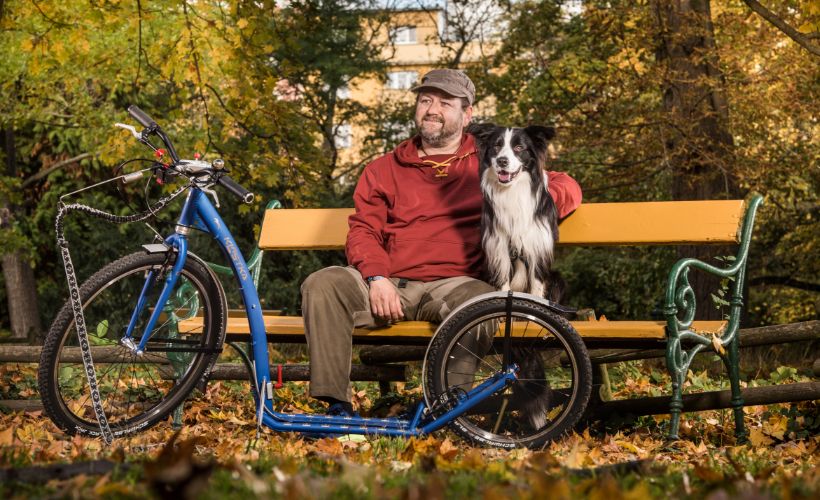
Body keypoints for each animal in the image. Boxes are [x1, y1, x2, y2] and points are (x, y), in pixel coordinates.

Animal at [468, 123, 564, 432]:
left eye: (519, 148)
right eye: (497, 146)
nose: (501, 161)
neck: (512, 193)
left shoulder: (537, 251)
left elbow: (536, 292)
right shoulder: (498, 252)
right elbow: (504, 288)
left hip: (558, 278)